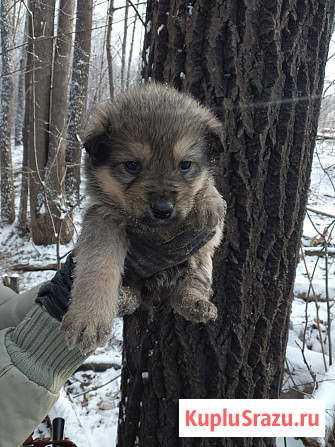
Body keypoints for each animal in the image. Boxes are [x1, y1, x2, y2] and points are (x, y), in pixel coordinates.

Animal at [61, 82, 227, 352]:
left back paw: (195, 301)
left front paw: (208, 202)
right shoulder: (103, 219)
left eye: (185, 165)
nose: (163, 209)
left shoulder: (207, 236)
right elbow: (99, 266)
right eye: (132, 165)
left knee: (195, 277)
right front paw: (88, 320)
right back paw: (123, 298)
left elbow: (207, 192)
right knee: (135, 296)